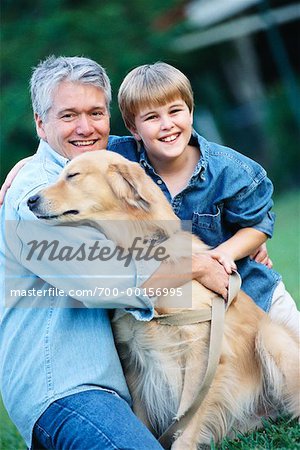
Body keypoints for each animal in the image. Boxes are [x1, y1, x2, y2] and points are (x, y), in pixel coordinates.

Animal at [27, 150, 298, 446]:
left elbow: (187, 422)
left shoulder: (203, 356)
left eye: (73, 175)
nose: (30, 200)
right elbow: (142, 419)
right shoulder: (133, 360)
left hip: (271, 337)